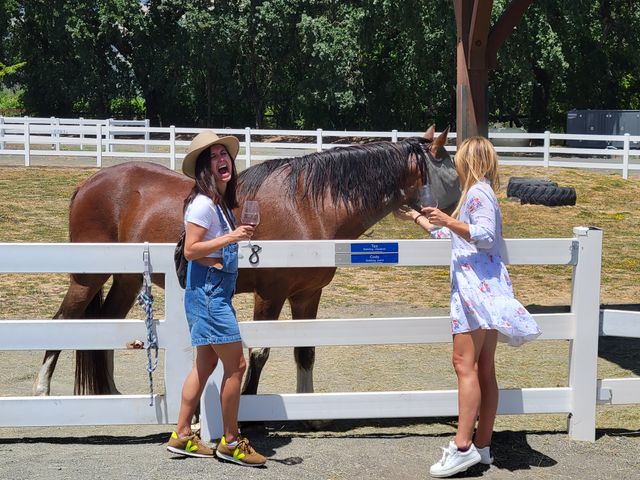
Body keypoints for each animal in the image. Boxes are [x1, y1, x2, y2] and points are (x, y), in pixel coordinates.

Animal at [33, 126, 458, 399]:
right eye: (453, 173)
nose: (457, 221)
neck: (308, 206)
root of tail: (89, 183)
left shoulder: (307, 296)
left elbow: (306, 351)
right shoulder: (270, 295)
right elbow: (260, 352)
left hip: (125, 278)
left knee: (103, 327)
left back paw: (109, 392)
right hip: (87, 277)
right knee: (64, 321)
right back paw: (42, 390)